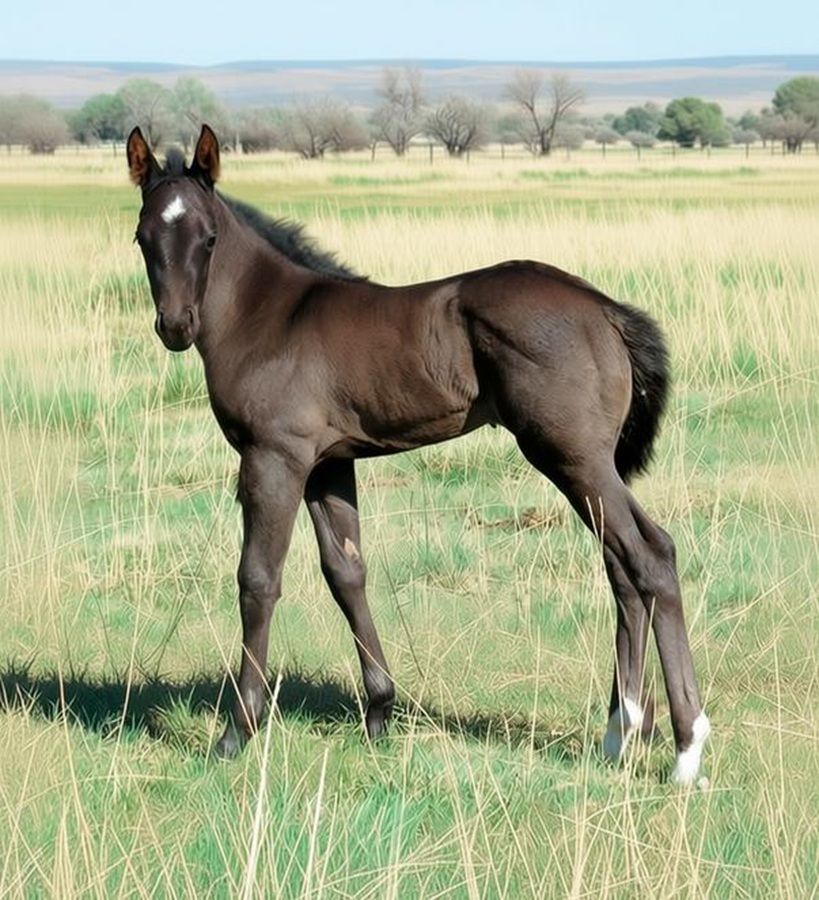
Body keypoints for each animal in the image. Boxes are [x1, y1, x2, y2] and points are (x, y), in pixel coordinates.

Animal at [126, 124, 710, 784]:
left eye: (208, 237)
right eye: (143, 236)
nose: (175, 325)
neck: (268, 316)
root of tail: (605, 308)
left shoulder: (274, 457)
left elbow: (258, 578)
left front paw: (238, 730)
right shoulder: (329, 464)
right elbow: (346, 572)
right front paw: (380, 712)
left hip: (571, 456)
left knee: (649, 557)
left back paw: (686, 749)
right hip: (586, 463)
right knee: (624, 565)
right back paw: (621, 731)